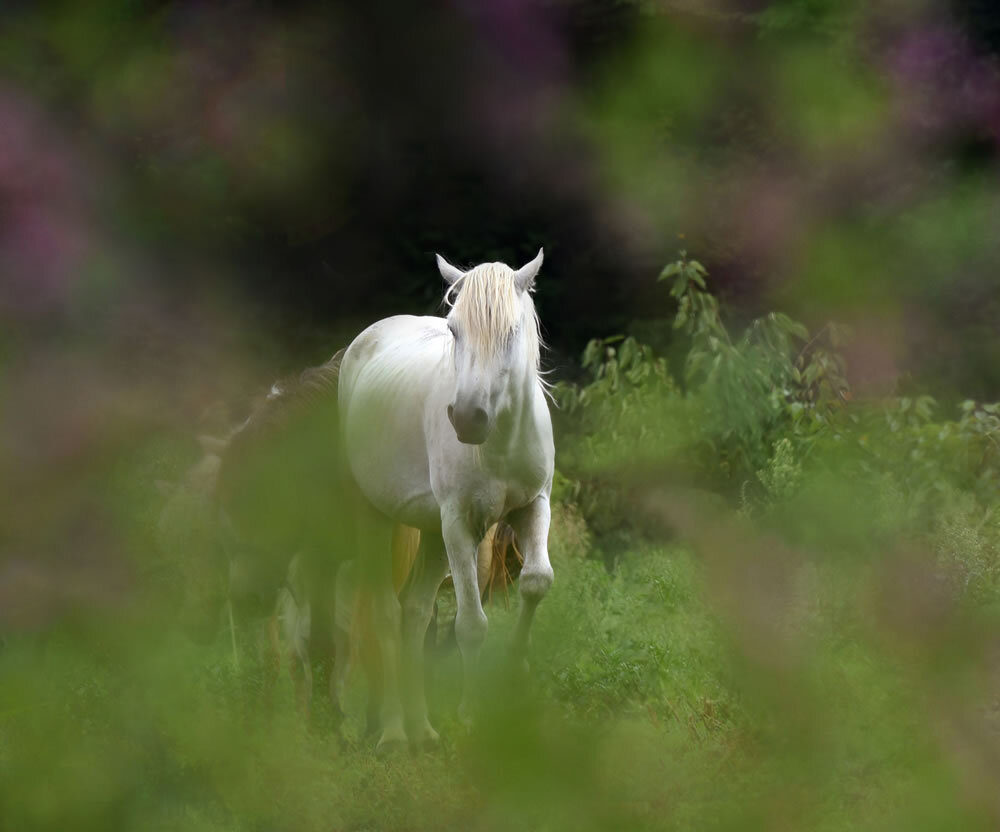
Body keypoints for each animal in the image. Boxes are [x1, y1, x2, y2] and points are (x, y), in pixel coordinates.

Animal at [339, 248, 555, 751]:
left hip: (431, 532)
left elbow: (536, 582)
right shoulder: (461, 525)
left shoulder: (534, 505)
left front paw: (515, 674)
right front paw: (473, 716)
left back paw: (423, 730)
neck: (501, 440)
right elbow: (471, 624)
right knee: (384, 612)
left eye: (511, 331)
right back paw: (394, 734)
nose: (468, 418)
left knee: (414, 613)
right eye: (455, 330)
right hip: (374, 516)